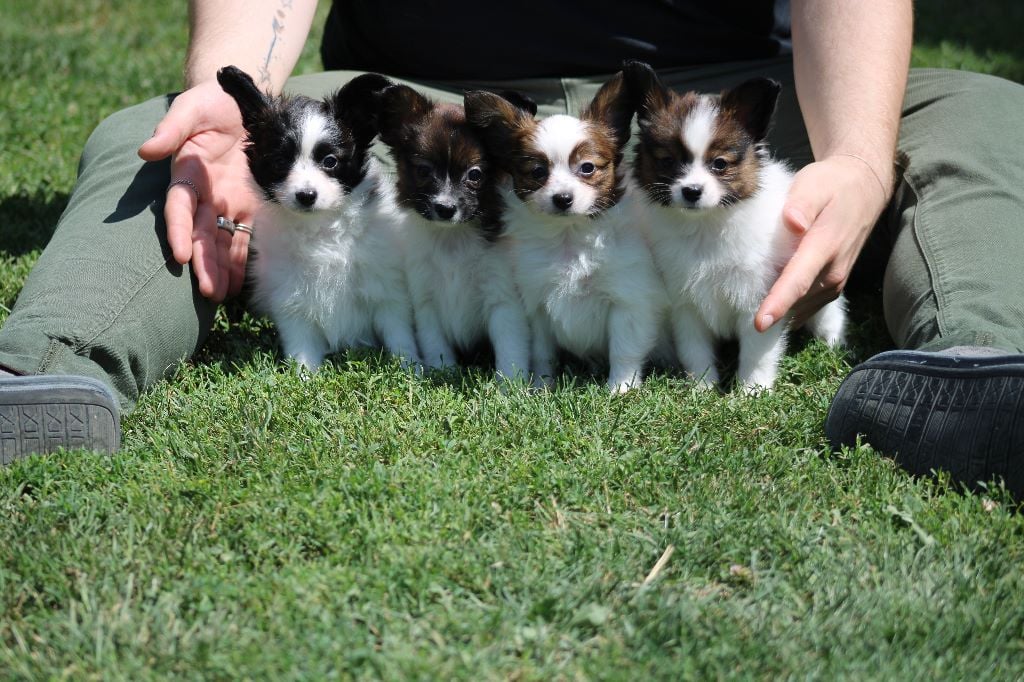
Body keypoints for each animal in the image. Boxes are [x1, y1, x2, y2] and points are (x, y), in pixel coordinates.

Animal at [218, 65, 421, 372]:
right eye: (280, 162)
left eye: (330, 161)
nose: (306, 195)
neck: (320, 226)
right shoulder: (290, 299)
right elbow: (301, 346)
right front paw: (304, 377)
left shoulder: (386, 289)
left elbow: (398, 333)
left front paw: (411, 369)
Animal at [374, 83, 532, 376]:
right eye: (424, 171)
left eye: (475, 175)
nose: (445, 208)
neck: (452, 238)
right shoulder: (426, 302)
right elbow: (435, 344)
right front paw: (442, 372)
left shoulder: (503, 301)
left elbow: (510, 349)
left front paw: (509, 384)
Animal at [464, 71, 663, 391]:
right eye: (537, 172)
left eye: (587, 167)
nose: (563, 198)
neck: (568, 236)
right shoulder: (538, 307)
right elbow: (542, 354)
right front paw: (541, 388)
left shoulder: (629, 301)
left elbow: (624, 351)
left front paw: (620, 390)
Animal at [622, 62, 847, 393]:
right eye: (668, 161)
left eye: (720, 164)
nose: (692, 191)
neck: (706, 226)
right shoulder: (685, 305)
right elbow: (695, 350)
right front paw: (702, 389)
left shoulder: (759, 303)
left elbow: (756, 354)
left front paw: (752, 391)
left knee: (831, 313)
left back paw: (833, 343)